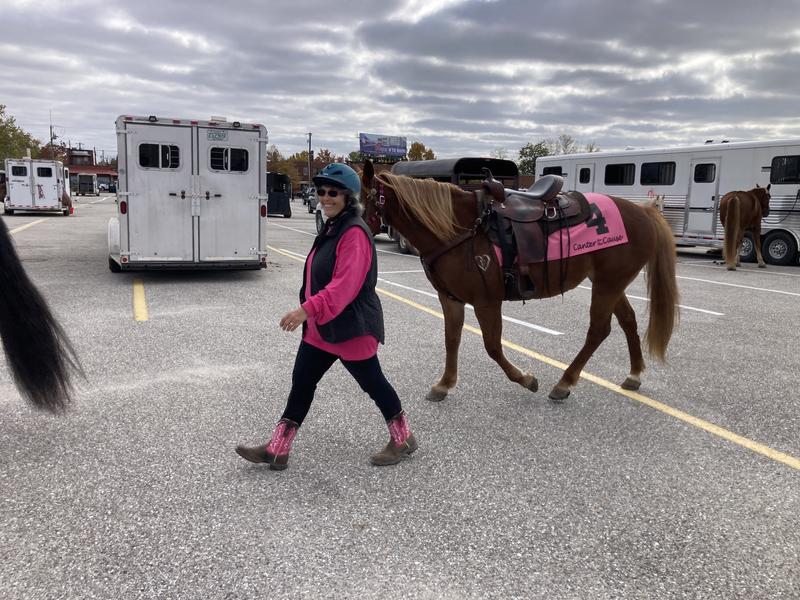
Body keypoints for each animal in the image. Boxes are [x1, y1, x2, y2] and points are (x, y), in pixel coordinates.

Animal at [360, 162, 680, 400]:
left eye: (359, 200)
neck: (459, 229)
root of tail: (643, 211)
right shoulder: (450, 299)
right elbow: (452, 340)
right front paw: (444, 384)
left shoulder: (486, 301)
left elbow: (492, 346)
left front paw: (525, 378)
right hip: (610, 283)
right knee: (628, 321)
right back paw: (634, 374)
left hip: (607, 285)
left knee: (598, 331)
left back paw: (565, 382)